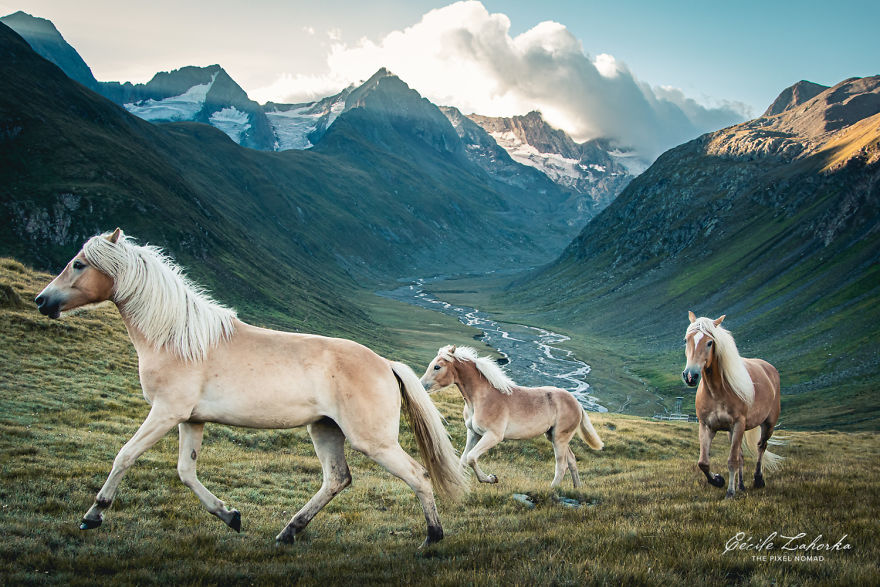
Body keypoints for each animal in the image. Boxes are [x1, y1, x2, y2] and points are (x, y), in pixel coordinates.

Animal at [34, 229, 467, 547]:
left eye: (78, 263)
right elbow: (186, 471)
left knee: (417, 475)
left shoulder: (166, 413)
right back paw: (288, 532)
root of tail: (385, 363)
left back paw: (432, 538)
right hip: (324, 429)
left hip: (372, 441)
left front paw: (93, 515)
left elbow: (125, 455)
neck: (179, 339)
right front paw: (230, 516)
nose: (41, 301)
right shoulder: (190, 420)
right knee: (336, 479)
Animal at [419, 345, 603, 488]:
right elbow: (464, 459)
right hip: (553, 435)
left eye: (437, 367)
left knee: (562, 464)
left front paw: (491, 479)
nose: (421, 386)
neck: (481, 398)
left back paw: (552, 490)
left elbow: (471, 458)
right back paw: (577, 488)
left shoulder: (493, 436)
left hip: (560, 438)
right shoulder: (473, 433)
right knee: (571, 460)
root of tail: (577, 404)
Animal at [682, 312, 783, 498]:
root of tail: (768, 368)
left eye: (709, 342)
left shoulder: (738, 424)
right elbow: (703, 462)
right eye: (686, 340)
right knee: (742, 455)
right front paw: (718, 480)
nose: (690, 375)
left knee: (761, 447)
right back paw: (741, 485)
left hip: (768, 424)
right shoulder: (706, 426)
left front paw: (730, 492)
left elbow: (732, 461)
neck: (717, 391)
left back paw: (758, 480)